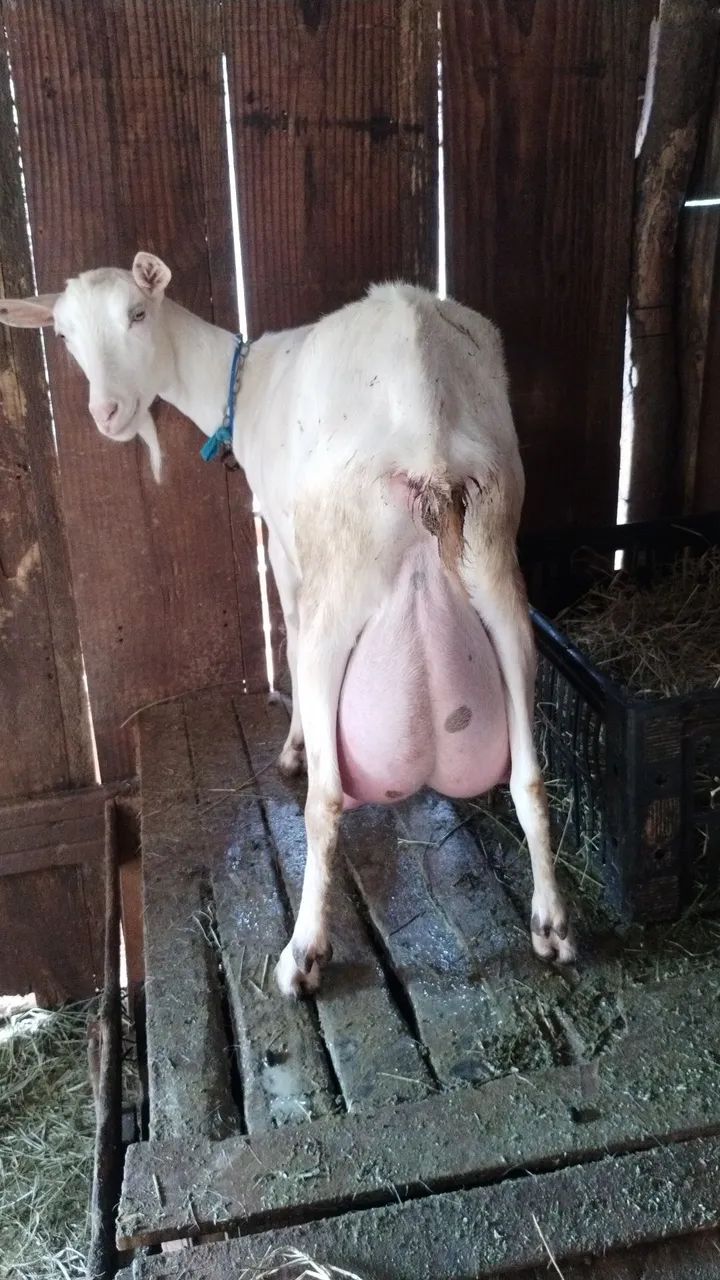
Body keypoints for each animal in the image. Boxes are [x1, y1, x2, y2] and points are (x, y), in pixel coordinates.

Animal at [0, 251, 575, 995]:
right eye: (64, 336)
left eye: (137, 313)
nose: (108, 412)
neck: (243, 383)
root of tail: (428, 428)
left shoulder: (278, 538)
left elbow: (289, 630)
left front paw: (295, 744)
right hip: (500, 578)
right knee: (530, 777)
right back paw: (552, 926)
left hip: (342, 580)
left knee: (324, 793)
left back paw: (303, 952)